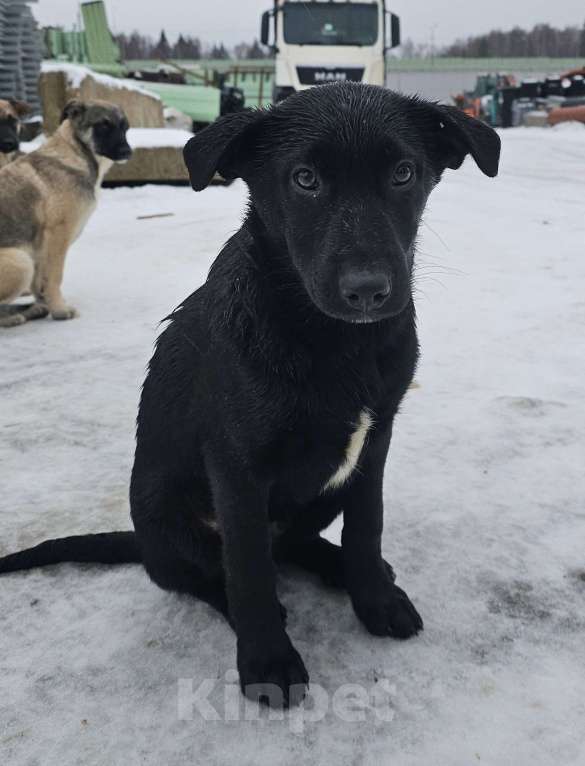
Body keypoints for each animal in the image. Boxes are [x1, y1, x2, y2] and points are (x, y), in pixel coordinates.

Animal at [0, 99, 131, 328]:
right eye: (103, 125)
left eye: (125, 127)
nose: (127, 151)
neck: (76, 153)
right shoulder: (58, 235)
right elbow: (54, 277)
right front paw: (60, 310)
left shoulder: (41, 247)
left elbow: (40, 284)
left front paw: (48, 304)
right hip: (21, 262)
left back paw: (31, 310)